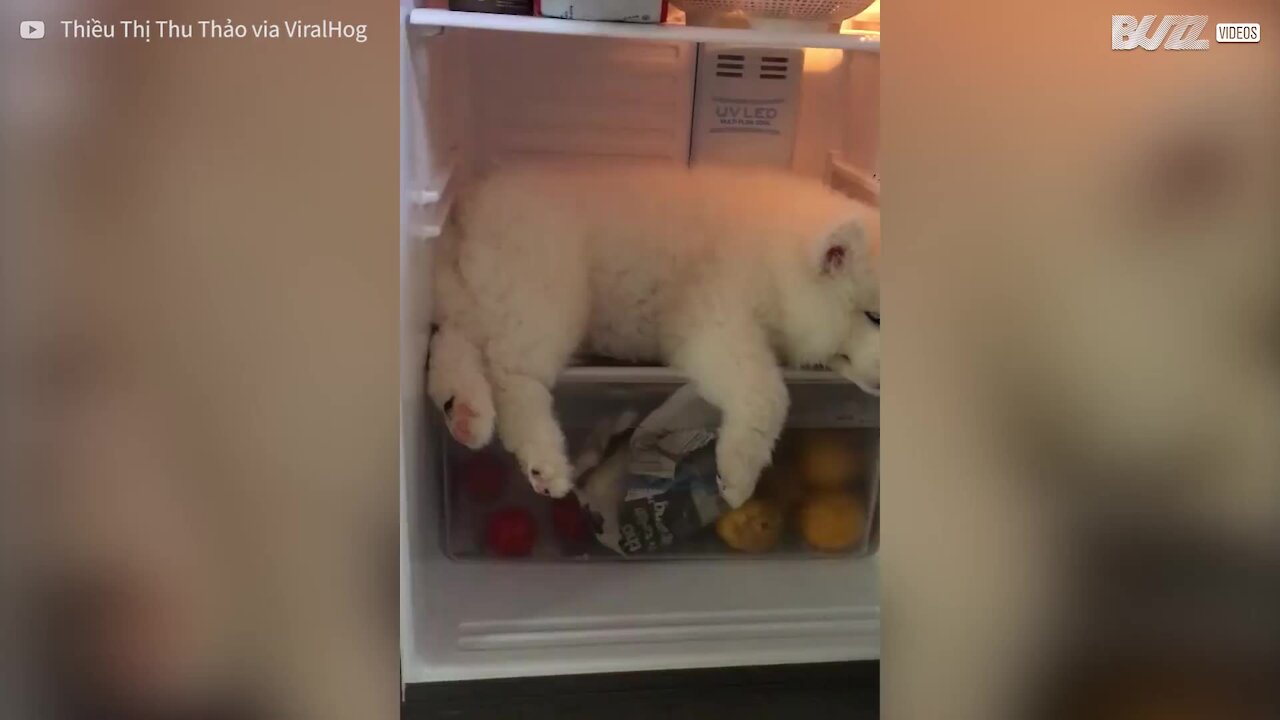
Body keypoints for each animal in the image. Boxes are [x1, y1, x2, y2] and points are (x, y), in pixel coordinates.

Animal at [430, 162, 880, 504]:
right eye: (875, 317)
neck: (781, 263)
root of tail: (468, 210)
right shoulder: (715, 321)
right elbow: (768, 394)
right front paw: (738, 478)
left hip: (483, 295)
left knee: (450, 344)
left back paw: (466, 415)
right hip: (542, 296)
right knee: (511, 376)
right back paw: (545, 463)